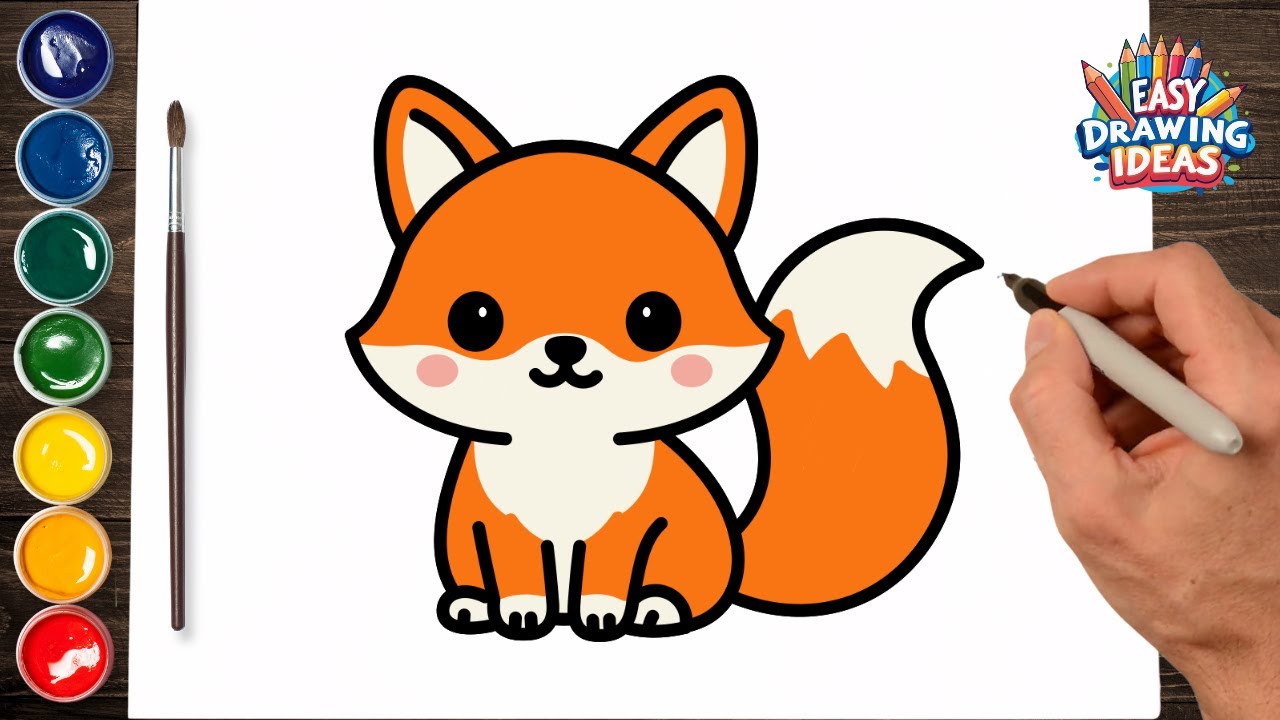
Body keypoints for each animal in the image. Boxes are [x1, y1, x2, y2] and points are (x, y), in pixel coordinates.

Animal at [347, 75, 983, 641]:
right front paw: (521, 612)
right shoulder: (493, 525)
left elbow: (607, 576)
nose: (565, 348)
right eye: (474, 319)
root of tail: (738, 549)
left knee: (686, 590)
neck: (564, 451)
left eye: (654, 319)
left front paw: (604, 615)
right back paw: (475, 605)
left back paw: (657, 607)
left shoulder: (635, 526)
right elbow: (518, 574)